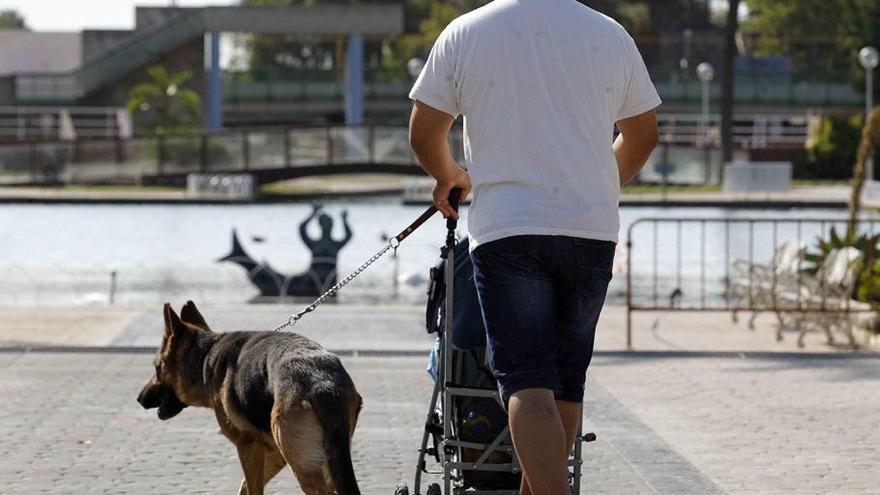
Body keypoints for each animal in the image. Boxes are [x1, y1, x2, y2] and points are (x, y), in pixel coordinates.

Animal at [137, 302, 360, 495]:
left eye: (157, 367)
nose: (139, 398)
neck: (207, 357)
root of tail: (322, 381)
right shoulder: (274, 452)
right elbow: (245, 485)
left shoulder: (248, 446)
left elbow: (253, 488)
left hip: (303, 467)